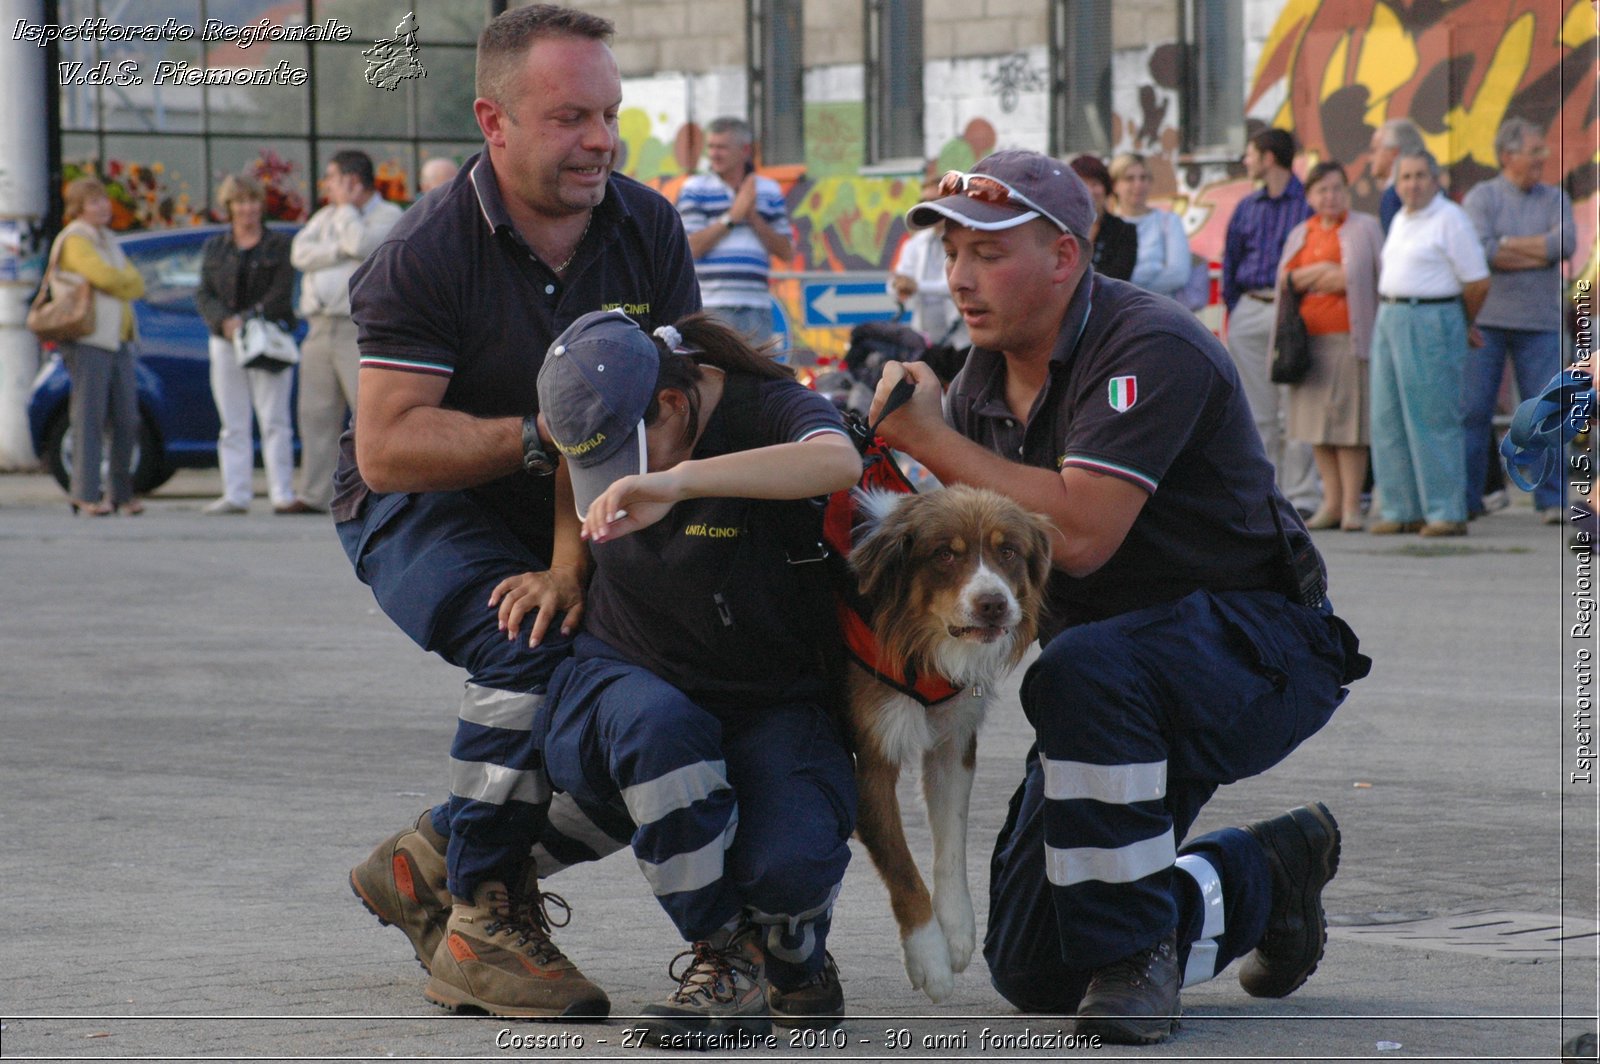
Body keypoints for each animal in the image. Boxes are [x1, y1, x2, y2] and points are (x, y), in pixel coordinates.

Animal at [844, 486, 1056, 998]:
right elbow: (902, 867)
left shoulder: (953, 741)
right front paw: (930, 958)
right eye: (944, 554)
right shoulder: (870, 760)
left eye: (1008, 551)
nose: (993, 603)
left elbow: (952, 840)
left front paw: (957, 930)